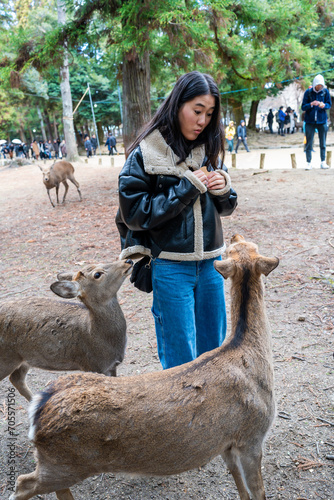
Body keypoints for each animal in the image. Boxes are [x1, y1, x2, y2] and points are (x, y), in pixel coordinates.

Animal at [0, 258, 133, 402]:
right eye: (97, 274)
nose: (128, 261)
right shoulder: (92, 365)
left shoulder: (111, 366)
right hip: (6, 357)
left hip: (25, 358)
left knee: (16, 379)